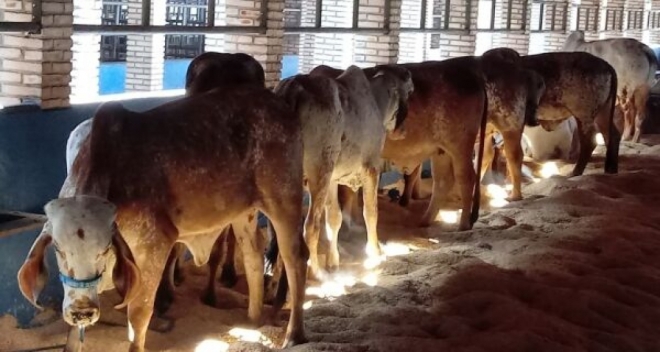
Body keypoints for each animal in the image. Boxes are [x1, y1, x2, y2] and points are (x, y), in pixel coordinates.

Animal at [18, 86, 310, 352]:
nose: (83, 311)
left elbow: (138, 315)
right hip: (244, 212)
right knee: (252, 254)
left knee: (295, 256)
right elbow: (73, 330)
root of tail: (279, 104)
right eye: (58, 249)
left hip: (284, 199)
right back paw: (253, 322)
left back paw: (293, 335)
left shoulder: (155, 244)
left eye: (105, 248)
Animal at [270, 65, 412, 278]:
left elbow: (334, 219)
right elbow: (371, 212)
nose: (403, 129)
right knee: (310, 226)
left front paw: (333, 260)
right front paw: (375, 251)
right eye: (408, 93)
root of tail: (292, 88)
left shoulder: (333, 179)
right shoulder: (371, 169)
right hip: (319, 172)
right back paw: (315, 271)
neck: (376, 101)